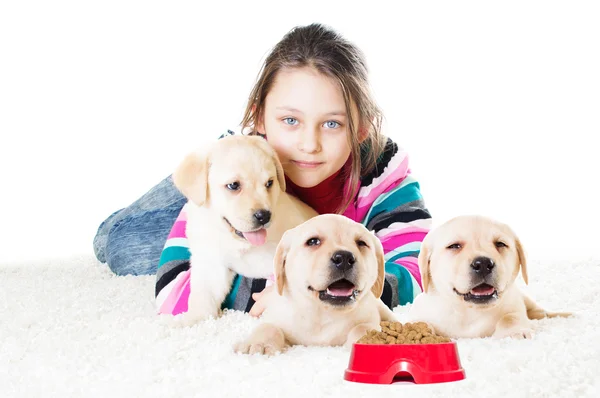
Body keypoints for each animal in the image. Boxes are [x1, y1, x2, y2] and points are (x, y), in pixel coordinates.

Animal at [232, 215, 396, 354]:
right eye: (312, 242)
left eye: (361, 243)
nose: (344, 258)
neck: (323, 313)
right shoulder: (275, 316)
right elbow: (268, 326)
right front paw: (258, 344)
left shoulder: (370, 318)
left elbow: (363, 327)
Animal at [406, 215, 568, 338]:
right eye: (454, 246)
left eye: (500, 244)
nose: (483, 264)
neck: (469, 312)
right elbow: (418, 322)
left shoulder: (515, 304)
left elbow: (511, 317)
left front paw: (515, 332)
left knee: (540, 312)